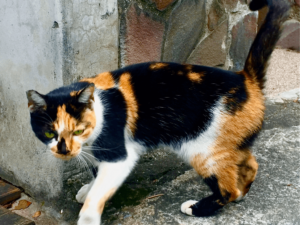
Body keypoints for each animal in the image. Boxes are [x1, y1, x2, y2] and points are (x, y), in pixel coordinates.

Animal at [27, 0, 290, 224]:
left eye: (78, 130)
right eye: (49, 133)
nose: (64, 150)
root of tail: (245, 79)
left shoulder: (119, 156)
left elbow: (99, 191)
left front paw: (88, 215)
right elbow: (95, 175)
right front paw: (88, 187)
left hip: (203, 150)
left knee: (228, 189)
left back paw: (197, 207)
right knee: (250, 164)